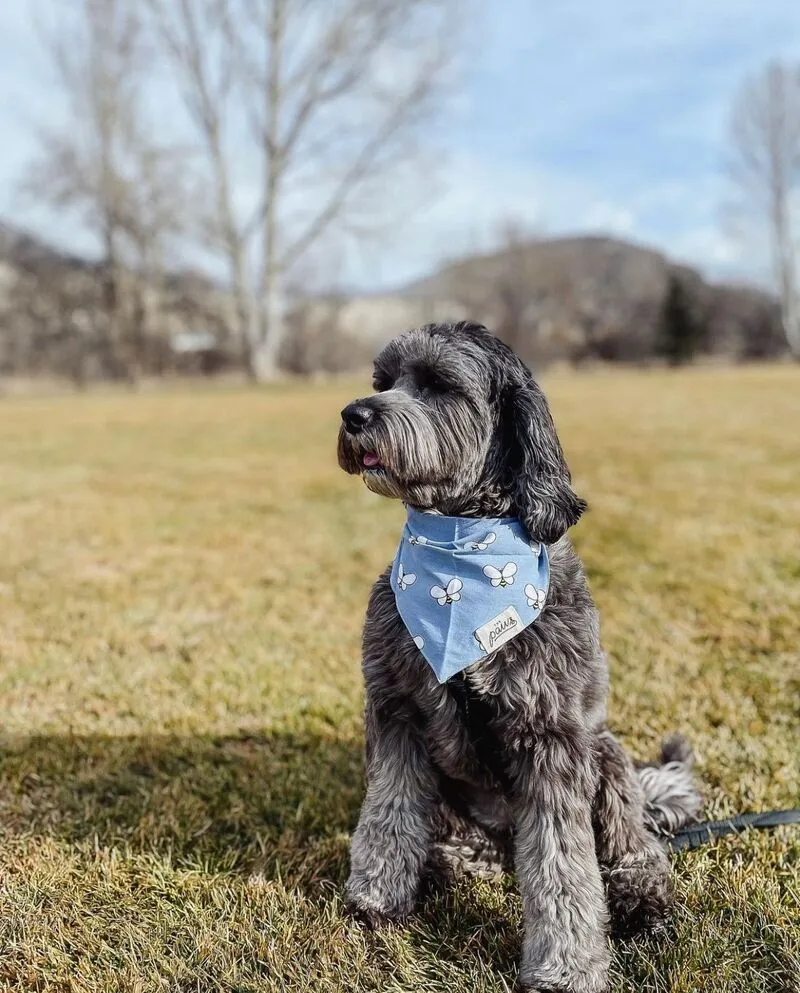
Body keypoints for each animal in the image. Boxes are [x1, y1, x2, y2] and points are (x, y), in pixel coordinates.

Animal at [334, 324, 696, 992]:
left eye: (440, 385)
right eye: (384, 381)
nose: (353, 414)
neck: (463, 559)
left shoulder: (551, 735)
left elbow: (562, 864)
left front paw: (565, 968)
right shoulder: (396, 711)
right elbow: (388, 811)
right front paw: (376, 898)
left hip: (606, 754)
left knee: (632, 846)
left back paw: (642, 898)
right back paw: (452, 864)